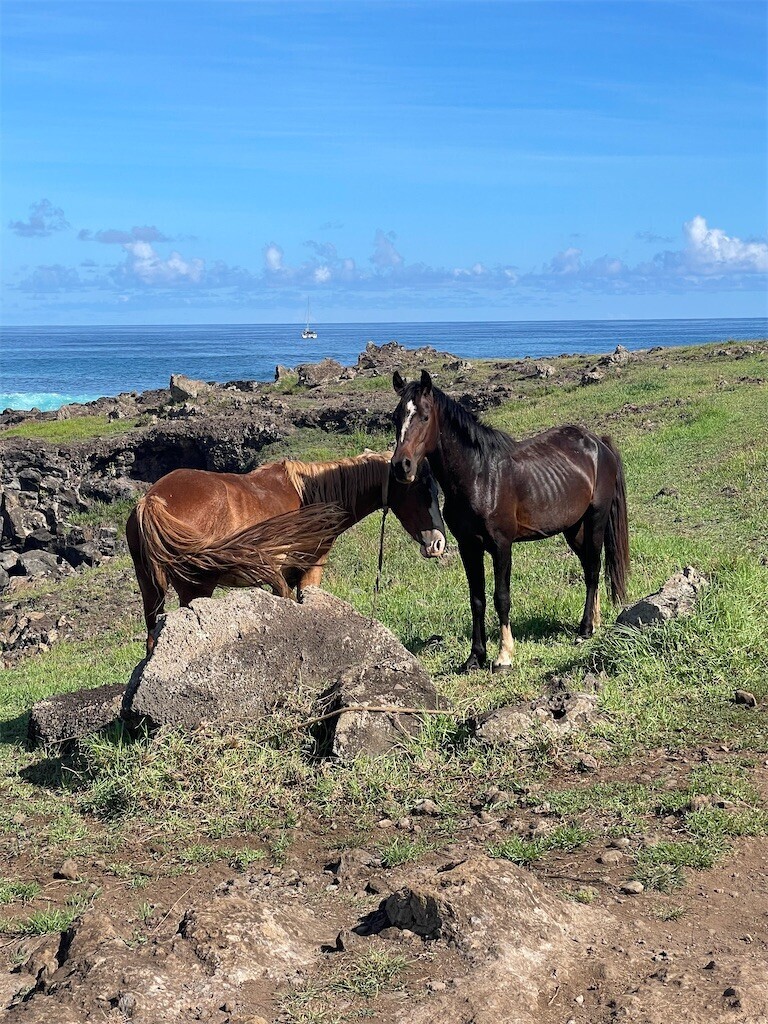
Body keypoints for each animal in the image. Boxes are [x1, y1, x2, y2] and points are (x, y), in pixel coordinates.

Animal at [128, 452, 444, 651]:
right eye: (422, 490)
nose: (438, 543)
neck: (313, 495)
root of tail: (152, 500)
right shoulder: (309, 571)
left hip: (152, 590)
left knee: (152, 639)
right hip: (196, 589)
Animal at [393, 368, 626, 671]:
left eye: (424, 416)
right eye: (396, 417)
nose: (401, 466)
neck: (479, 476)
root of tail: (598, 443)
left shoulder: (501, 546)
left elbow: (501, 598)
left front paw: (504, 655)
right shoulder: (469, 547)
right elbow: (477, 599)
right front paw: (475, 657)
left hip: (595, 520)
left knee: (594, 569)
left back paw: (585, 629)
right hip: (574, 529)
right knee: (589, 567)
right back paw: (594, 623)